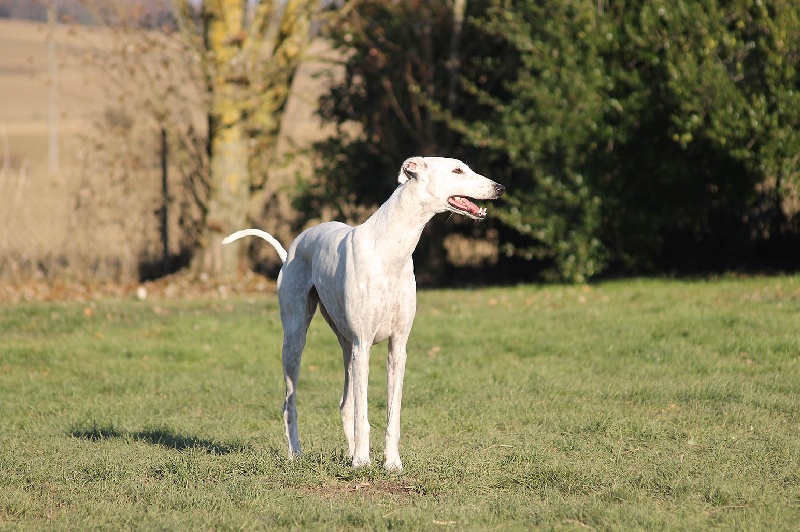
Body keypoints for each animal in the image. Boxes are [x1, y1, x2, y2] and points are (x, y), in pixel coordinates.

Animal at [222, 156, 504, 469]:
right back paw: (298, 453)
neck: (390, 248)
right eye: (457, 170)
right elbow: (363, 414)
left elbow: (392, 414)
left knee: (345, 404)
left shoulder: (398, 347)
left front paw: (391, 462)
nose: (499, 188)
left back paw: (349, 452)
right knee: (290, 403)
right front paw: (362, 462)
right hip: (297, 339)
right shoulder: (364, 344)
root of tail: (291, 250)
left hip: (346, 346)